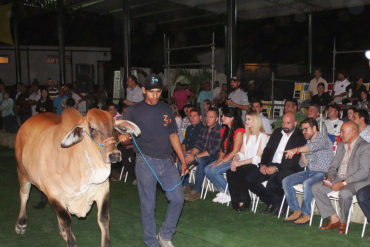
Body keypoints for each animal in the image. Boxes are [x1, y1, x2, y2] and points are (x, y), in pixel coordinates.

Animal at [14, 108, 140, 247]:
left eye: (114, 128)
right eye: (91, 128)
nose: (114, 155)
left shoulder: (103, 191)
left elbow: (103, 218)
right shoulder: (54, 194)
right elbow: (66, 220)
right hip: (22, 172)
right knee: (24, 195)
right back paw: (21, 223)